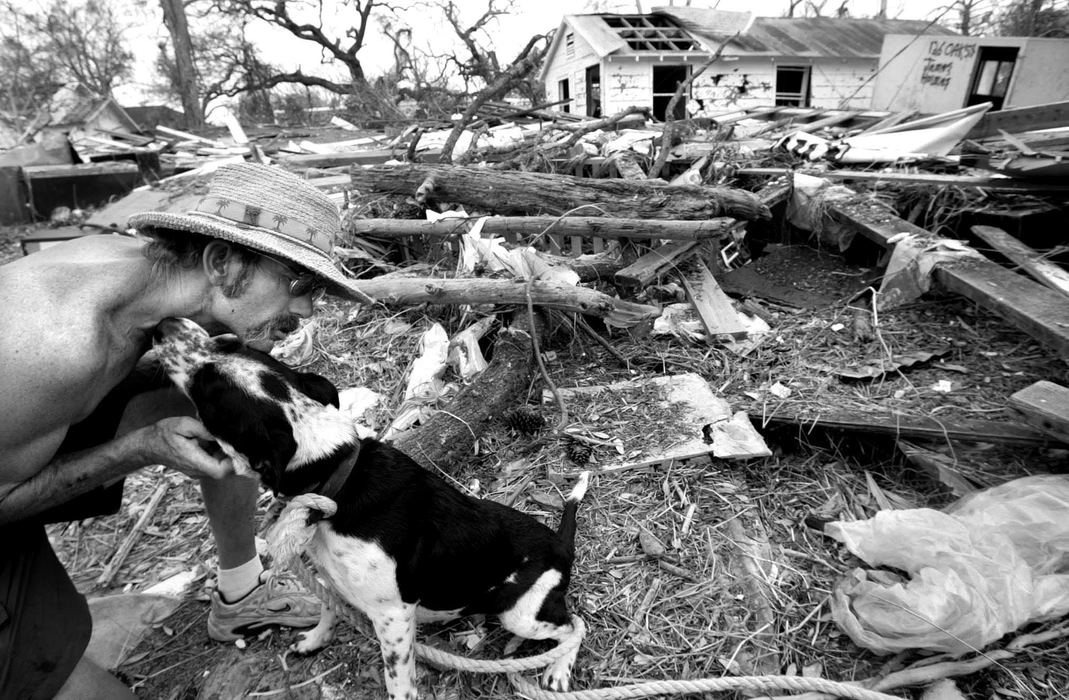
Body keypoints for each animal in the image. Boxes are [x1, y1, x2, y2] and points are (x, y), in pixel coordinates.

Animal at [149, 318, 590, 700]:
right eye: (229, 342)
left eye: (206, 389)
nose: (163, 325)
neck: (337, 476)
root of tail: (560, 546)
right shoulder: (331, 579)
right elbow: (329, 610)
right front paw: (316, 640)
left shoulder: (393, 618)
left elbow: (398, 681)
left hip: (521, 612)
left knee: (574, 627)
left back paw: (558, 669)